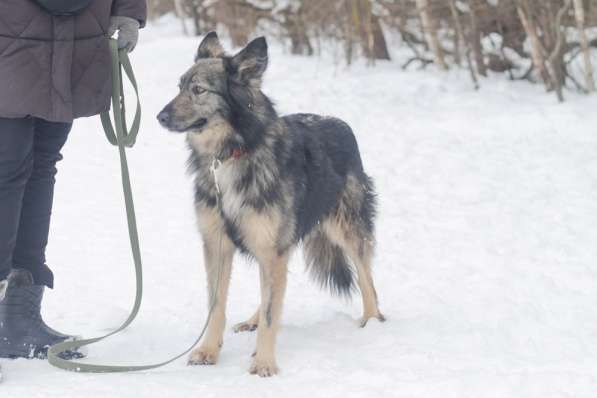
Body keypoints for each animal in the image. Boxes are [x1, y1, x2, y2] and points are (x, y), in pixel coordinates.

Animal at [156, 31, 384, 376]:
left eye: (198, 89)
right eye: (179, 86)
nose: (160, 117)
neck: (232, 154)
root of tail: (338, 122)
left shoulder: (271, 246)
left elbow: (270, 314)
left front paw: (264, 362)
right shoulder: (219, 244)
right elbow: (218, 306)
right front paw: (208, 351)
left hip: (346, 228)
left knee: (367, 277)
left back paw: (372, 320)